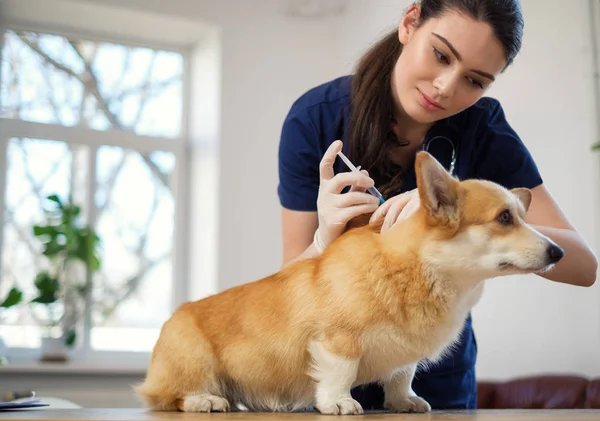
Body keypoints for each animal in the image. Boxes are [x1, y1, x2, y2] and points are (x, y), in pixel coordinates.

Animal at [134, 150, 564, 414]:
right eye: (504, 218)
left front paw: (405, 402)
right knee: (166, 396)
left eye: (522, 216)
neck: (420, 270)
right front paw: (339, 404)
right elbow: (340, 372)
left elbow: (402, 377)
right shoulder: (337, 340)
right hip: (193, 361)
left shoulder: (404, 356)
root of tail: (171, 321)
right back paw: (205, 401)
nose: (559, 252)